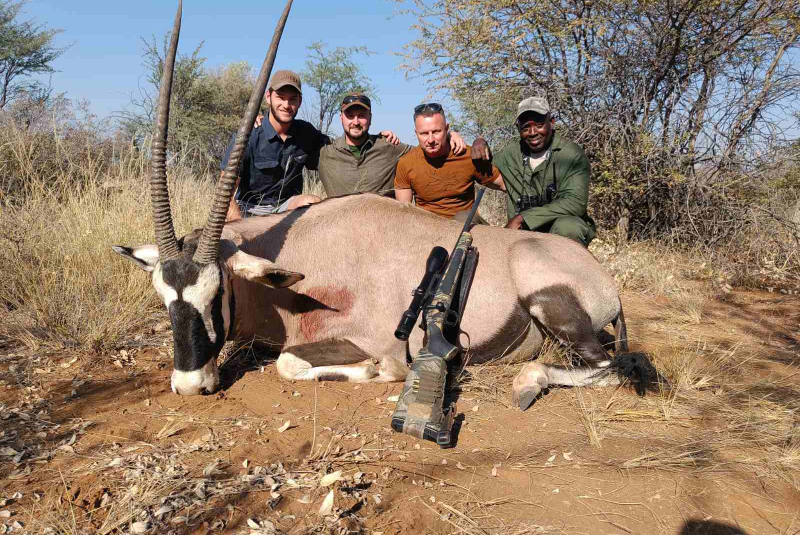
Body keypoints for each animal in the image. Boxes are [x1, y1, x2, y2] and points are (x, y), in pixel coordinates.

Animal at [115, 0, 660, 410]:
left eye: (216, 293)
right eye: (164, 298)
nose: (190, 385)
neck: (301, 261)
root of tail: (603, 278)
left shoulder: (363, 339)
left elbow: (292, 363)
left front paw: (380, 372)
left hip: (553, 304)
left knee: (613, 366)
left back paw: (528, 381)